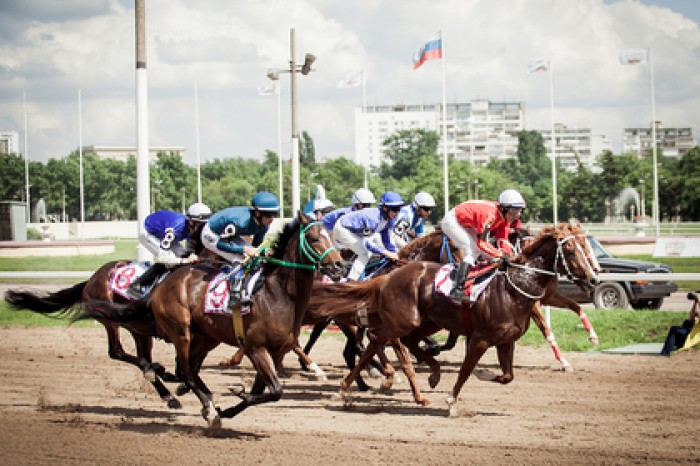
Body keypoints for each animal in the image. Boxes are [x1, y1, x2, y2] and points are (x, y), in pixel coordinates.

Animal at [81, 213, 344, 428]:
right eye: (313, 238)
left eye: (332, 236)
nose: (340, 265)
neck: (276, 293)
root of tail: (159, 288)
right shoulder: (255, 347)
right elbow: (275, 390)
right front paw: (231, 398)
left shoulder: (274, 351)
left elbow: (268, 391)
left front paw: (230, 406)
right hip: (180, 330)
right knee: (180, 369)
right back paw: (199, 401)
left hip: (205, 337)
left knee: (184, 369)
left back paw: (196, 398)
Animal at [306, 223, 596, 416]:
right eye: (571, 251)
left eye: (585, 246)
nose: (593, 278)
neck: (513, 288)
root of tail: (387, 278)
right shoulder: (481, 339)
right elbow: (466, 370)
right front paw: (452, 400)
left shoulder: (506, 341)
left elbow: (507, 376)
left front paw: (482, 373)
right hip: (401, 321)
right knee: (376, 342)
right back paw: (350, 384)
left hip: (424, 321)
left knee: (386, 344)